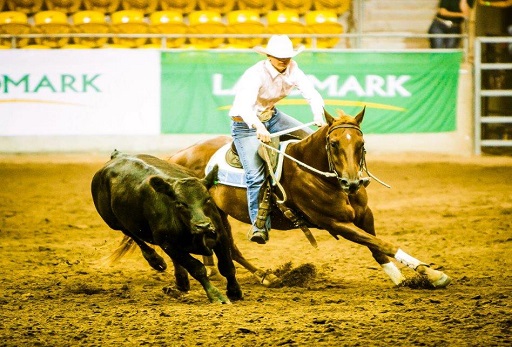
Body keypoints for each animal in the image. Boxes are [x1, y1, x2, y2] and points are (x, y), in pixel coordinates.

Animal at [170, 108, 450, 288]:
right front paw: (432, 274)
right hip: (215, 214)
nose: (352, 183)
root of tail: (176, 156)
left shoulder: (364, 215)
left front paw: (399, 278)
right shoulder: (334, 223)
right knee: (230, 247)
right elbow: (384, 244)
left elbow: (377, 246)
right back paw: (264, 275)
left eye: (360, 143)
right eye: (334, 143)